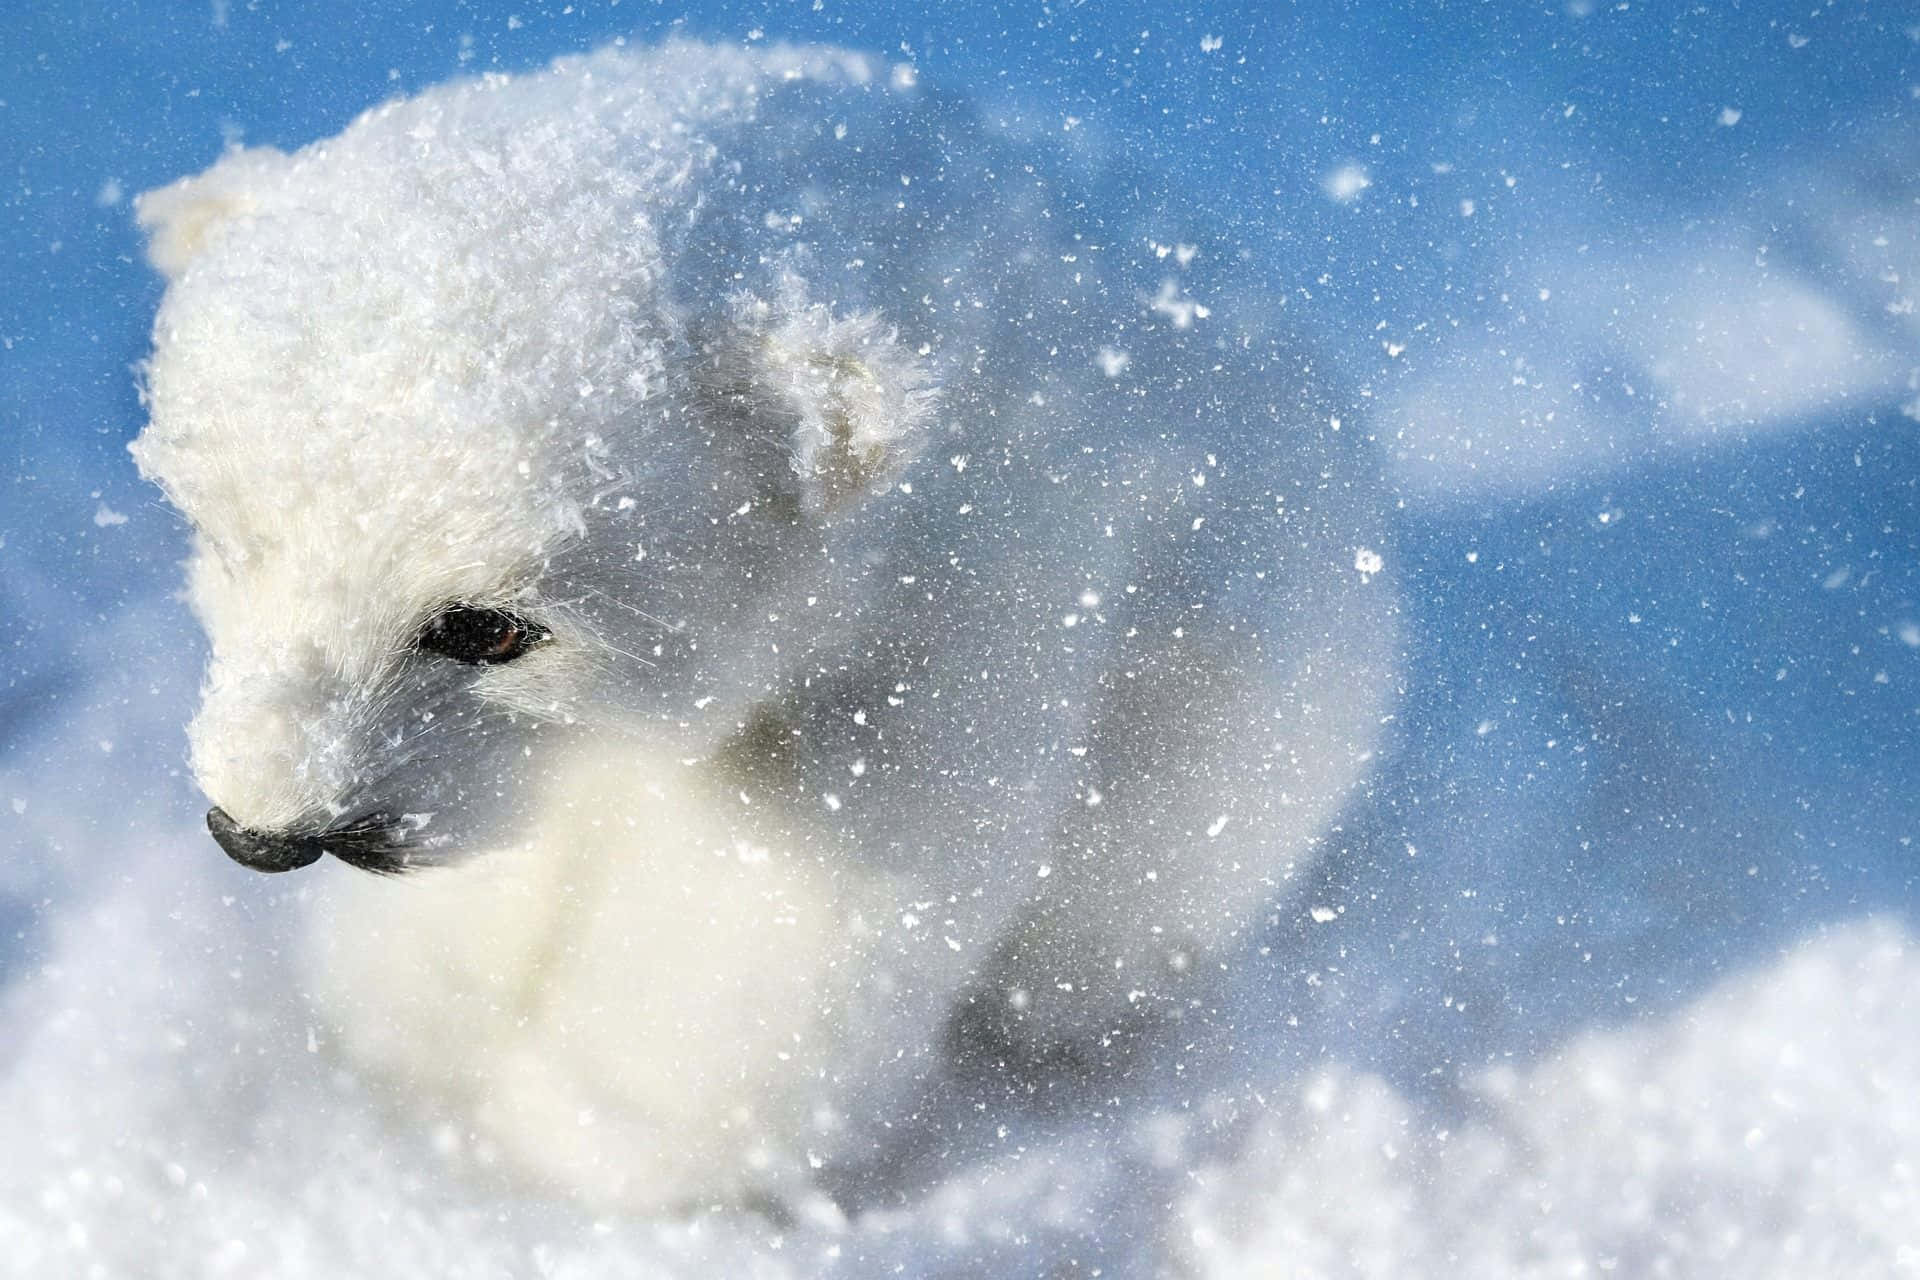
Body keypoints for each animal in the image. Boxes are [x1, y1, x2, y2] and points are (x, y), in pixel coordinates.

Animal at [130, 39, 1399, 1211]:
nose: (264, 832)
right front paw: (413, 1041)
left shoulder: (953, 615)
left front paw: (580, 1134)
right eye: (229, 538)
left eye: (489, 626)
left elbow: (784, 911)